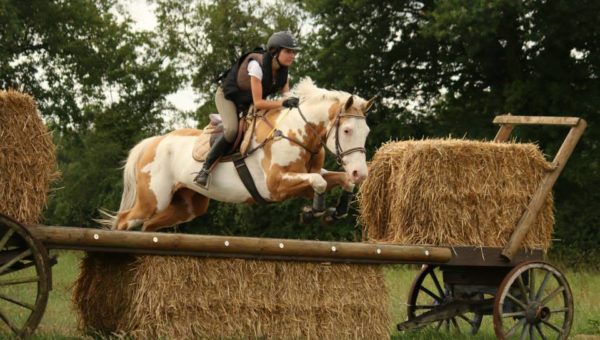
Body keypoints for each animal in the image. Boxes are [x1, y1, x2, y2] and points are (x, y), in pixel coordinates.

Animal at [107, 77, 370, 231]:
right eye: (347, 130)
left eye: (366, 132)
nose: (361, 173)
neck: (295, 132)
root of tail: (152, 143)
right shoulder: (275, 185)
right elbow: (319, 181)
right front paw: (312, 212)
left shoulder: (304, 182)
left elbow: (335, 180)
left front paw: (334, 212)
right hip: (153, 200)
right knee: (124, 221)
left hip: (187, 206)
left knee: (149, 226)